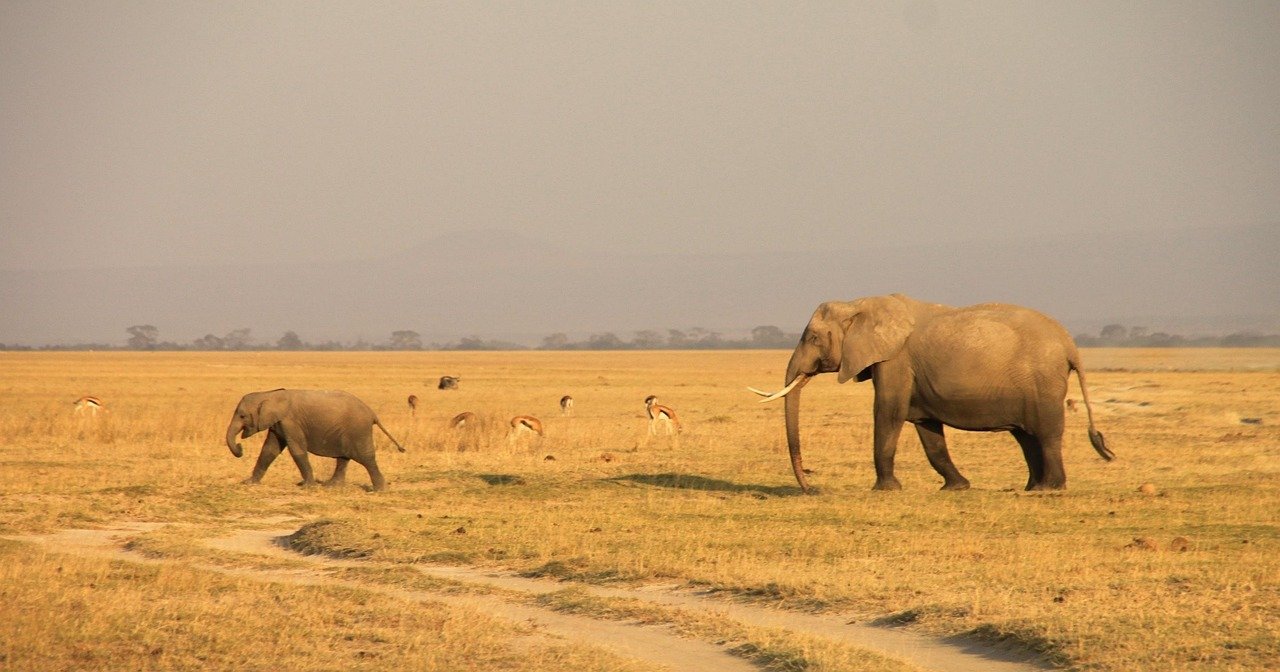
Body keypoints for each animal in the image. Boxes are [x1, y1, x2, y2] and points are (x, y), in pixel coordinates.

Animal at [225, 389, 405, 491]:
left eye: (242, 416)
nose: (240, 447)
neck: (270, 394)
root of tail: (373, 414)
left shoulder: (291, 422)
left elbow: (296, 450)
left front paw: (308, 487)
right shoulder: (278, 423)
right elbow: (269, 450)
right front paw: (248, 483)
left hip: (358, 430)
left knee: (366, 458)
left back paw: (380, 490)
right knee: (343, 458)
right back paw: (332, 486)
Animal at [750, 294, 1113, 492]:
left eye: (813, 338)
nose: (811, 488)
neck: (860, 304)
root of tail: (1070, 344)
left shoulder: (895, 359)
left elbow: (888, 412)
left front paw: (885, 490)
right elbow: (926, 428)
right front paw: (957, 488)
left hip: (1043, 382)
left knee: (1046, 434)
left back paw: (1050, 489)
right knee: (1027, 437)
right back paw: (1033, 487)